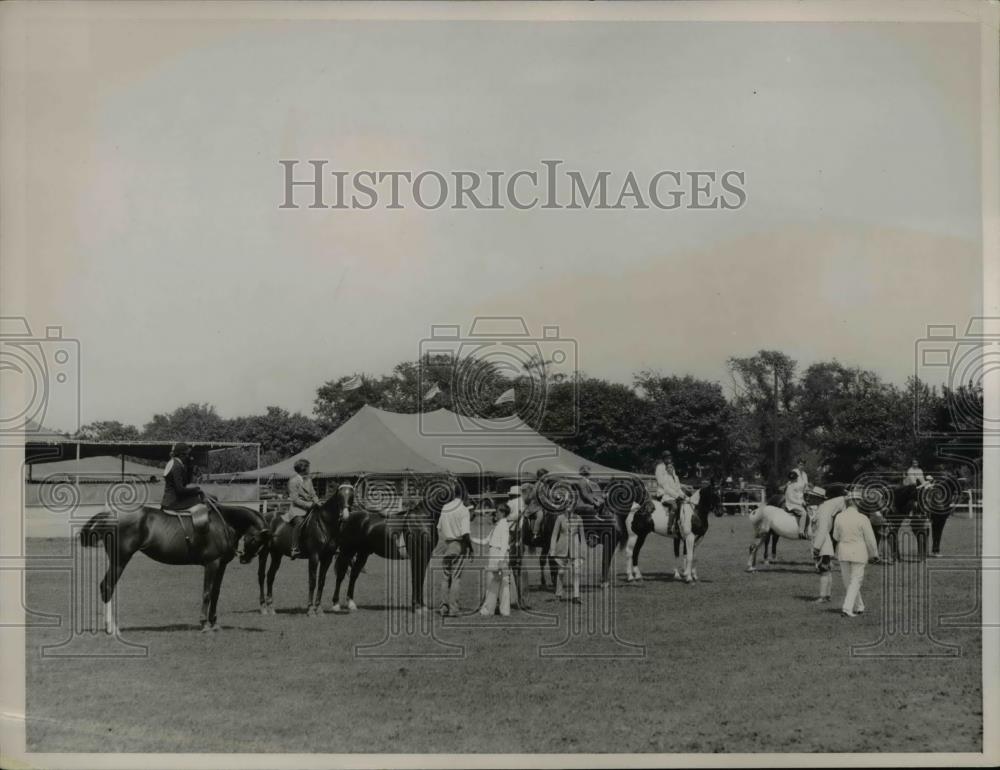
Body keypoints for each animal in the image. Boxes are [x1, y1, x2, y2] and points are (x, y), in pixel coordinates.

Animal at [78, 498, 272, 632]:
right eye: (257, 540)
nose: (245, 559)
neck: (223, 522)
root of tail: (110, 514)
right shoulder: (212, 564)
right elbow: (207, 593)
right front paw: (204, 624)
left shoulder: (221, 565)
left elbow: (216, 593)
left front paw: (214, 622)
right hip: (119, 561)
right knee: (107, 586)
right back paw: (111, 627)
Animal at [256, 484, 358, 616]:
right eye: (340, 496)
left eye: (351, 496)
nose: (345, 516)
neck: (324, 524)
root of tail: (265, 516)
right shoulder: (314, 557)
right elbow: (312, 581)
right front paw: (310, 610)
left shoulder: (327, 558)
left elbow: (321, 582)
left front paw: (319, 609)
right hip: (264, 553)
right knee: (261, 576)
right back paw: (263, 607)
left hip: (277, 554)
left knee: (270, 576)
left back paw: (271, 608)